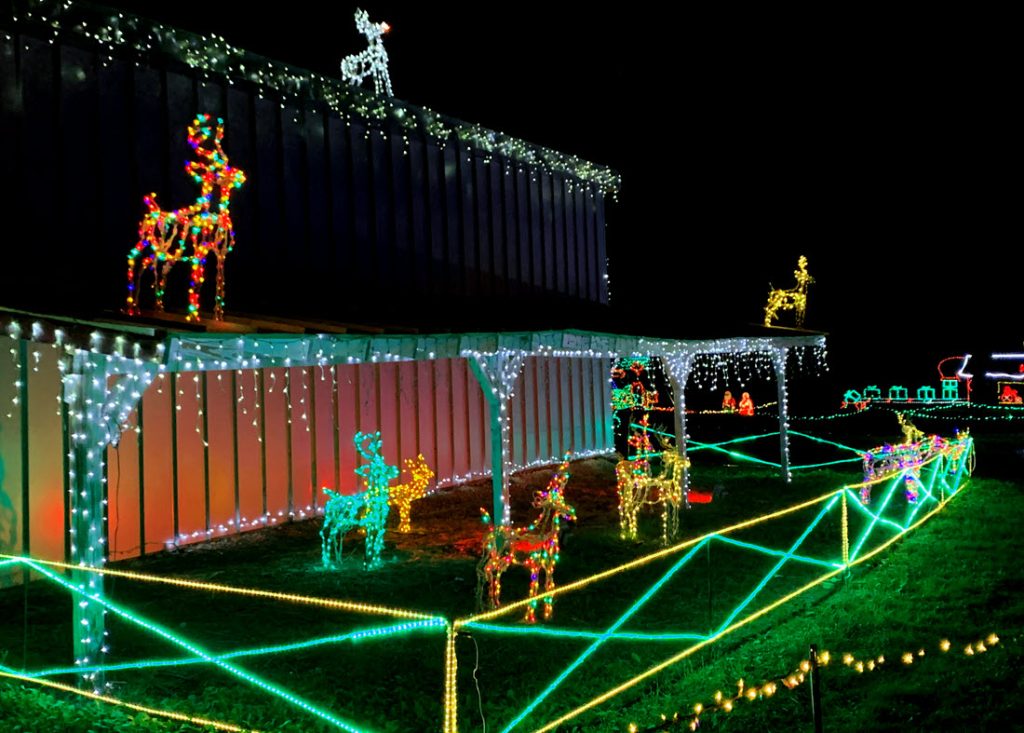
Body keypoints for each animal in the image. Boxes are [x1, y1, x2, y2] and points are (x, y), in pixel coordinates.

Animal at [125, 113, 245, 321]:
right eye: (219, 170)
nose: (240, 175)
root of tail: (150, 211)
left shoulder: (221, 255)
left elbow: (220, 285)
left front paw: (219, 318)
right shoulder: (199, 252)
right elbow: (196, 283)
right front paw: (194, 316)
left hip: (158, 251)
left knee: (148, 266)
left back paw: (153, 307)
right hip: (145, 243)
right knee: (133, 260)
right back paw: (131, 308)